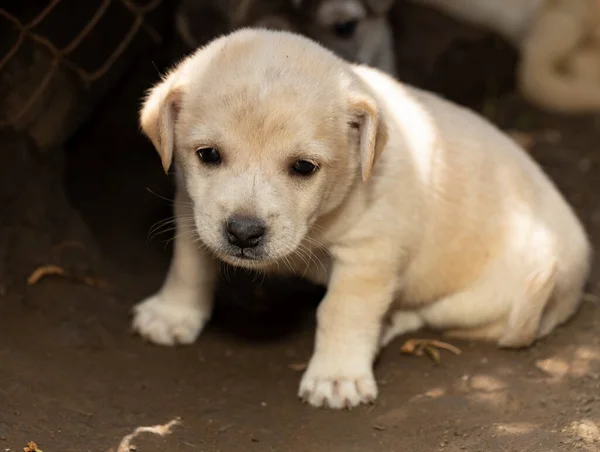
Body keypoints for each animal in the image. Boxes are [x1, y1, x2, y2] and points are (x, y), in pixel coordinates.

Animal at [132, 28, 592, 410]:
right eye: (208, 155)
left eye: (304, 167)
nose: (244, 233)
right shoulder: (191, 210)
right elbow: (189, 266)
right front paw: (173, 315)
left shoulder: (368, 257)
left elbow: (342, 311)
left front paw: (337, 377)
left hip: (478, 302)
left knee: (422, 314)